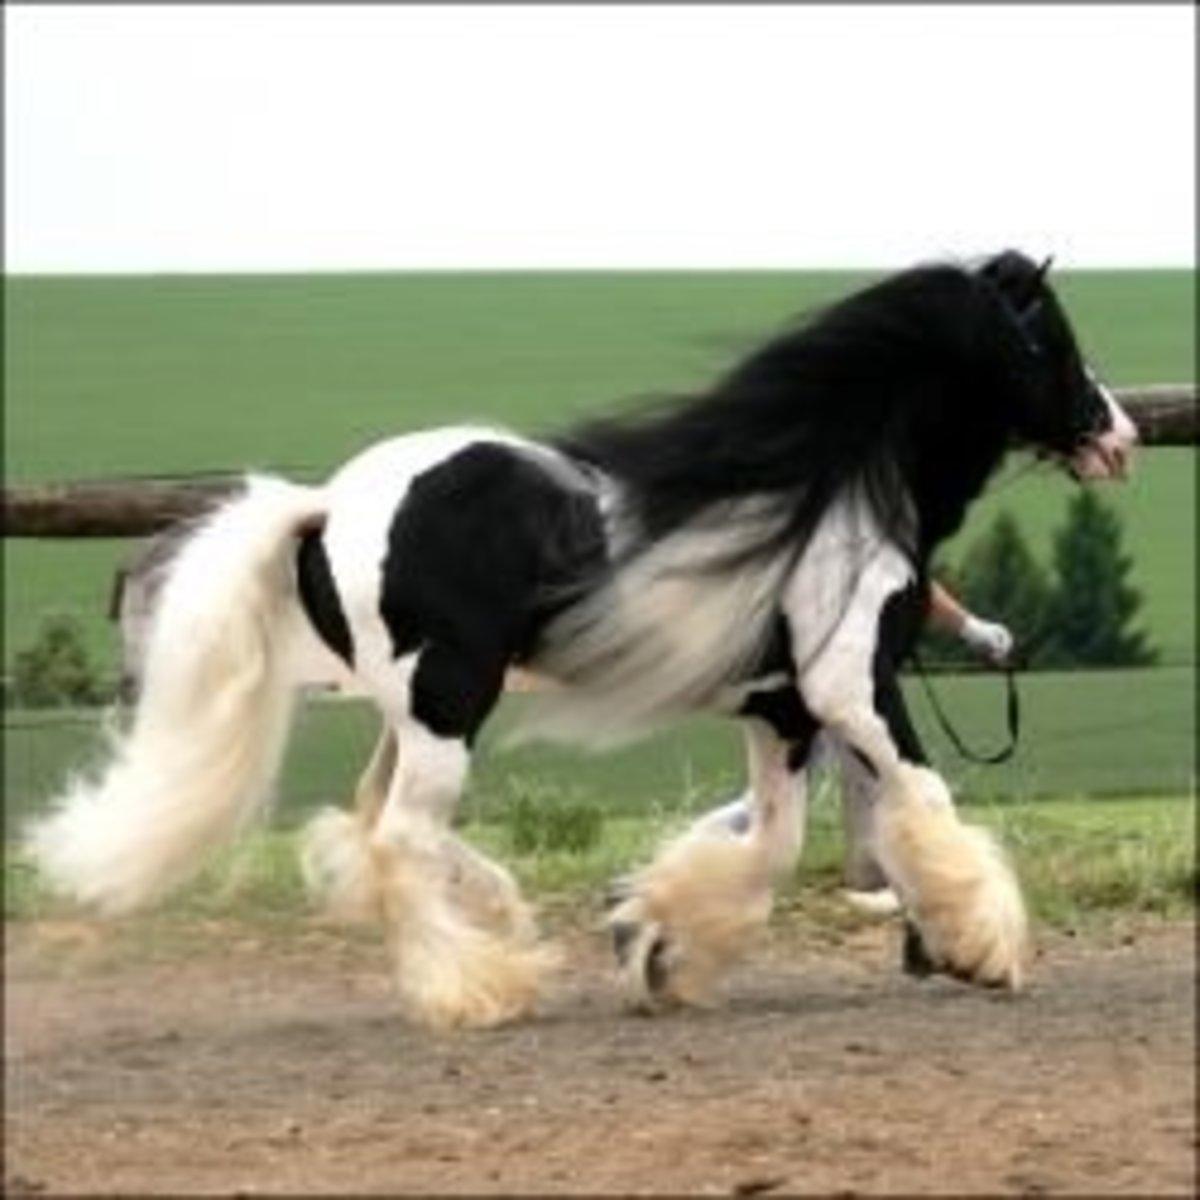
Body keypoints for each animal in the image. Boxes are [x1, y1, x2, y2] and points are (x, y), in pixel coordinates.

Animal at [27, 250, 1138, 1029]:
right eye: (1052, 339)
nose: (1118, 433)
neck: (837, 493)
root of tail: (329, 504)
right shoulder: (850, 687)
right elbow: (926, 799)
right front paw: (983, 949)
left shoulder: (781, 710)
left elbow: (769, 844)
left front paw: (654, 945)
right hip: (448, 702)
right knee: (398, 837)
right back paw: (475, 988)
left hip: (408, 711)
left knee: (375, 822)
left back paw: (505, 927)